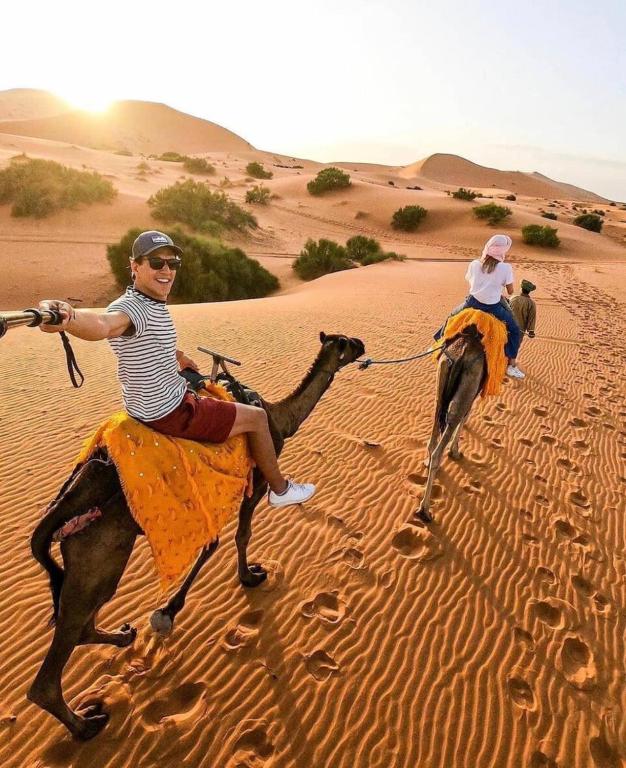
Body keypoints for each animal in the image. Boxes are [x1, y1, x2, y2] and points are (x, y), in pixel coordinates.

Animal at [26, 332, 364, 740]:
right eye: (347, 343)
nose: (363, 345)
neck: (278, 417)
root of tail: (64, 502)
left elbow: (212, 542)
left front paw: (168, 611)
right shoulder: (254, 484)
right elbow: (240, 535)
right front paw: (247, 577)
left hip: (95, 558)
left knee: (81, 620)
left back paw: (122, 636)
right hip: (97, 554)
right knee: (58, 653)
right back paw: (85, 725)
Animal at [416, 328, 486, 524]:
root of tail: (462, 352)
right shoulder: (472, 392)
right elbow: (464, 417)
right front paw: (455, 451)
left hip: (441, 380)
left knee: (435, 432)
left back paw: (427, 462)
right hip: (466, 387)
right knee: (451, 424)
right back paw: (425, 510)